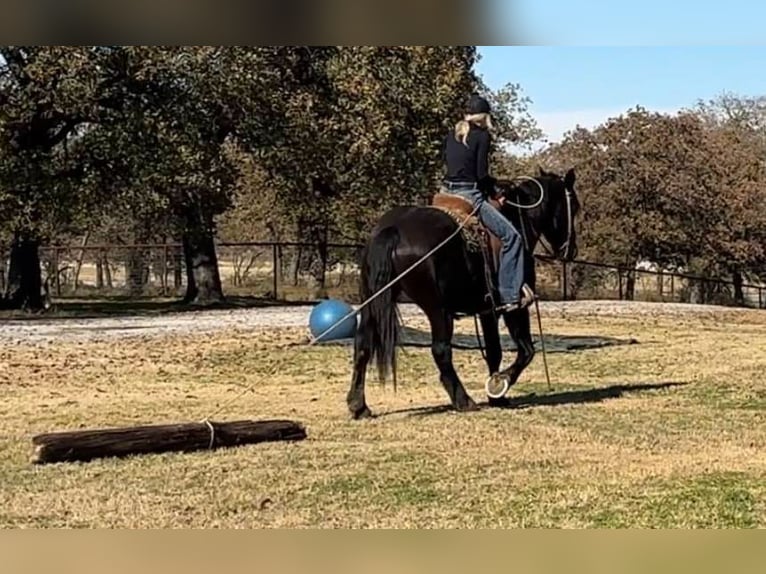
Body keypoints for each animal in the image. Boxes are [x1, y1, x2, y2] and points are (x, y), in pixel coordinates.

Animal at [346, 167, 581, 419]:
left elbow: (495, 351)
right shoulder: (514, 306)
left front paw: (497, 396)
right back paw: (463, 400)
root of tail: (393, 229)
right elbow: (526, 350)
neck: (517, 218)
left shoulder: (487, 310)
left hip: (371, 302)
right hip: (437, 309)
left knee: (362, 345)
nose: (571, 250)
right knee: (440, 350)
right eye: (575, 206)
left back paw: (358, 405)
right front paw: (500, 384)